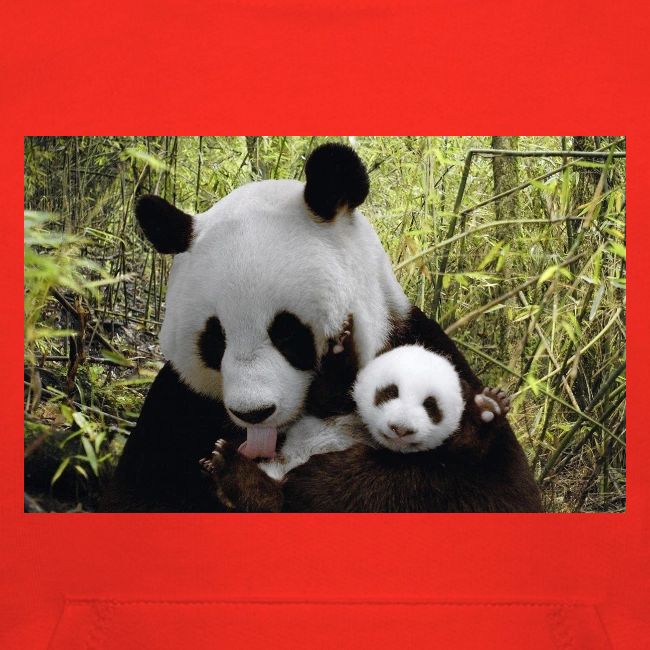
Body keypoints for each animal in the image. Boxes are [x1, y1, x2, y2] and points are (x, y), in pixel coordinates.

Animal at [101, 143, 541, 513]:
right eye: (215, 340)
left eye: (287, 333)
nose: (254, 413)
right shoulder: (179, 404)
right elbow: (137, 494)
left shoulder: (421, 346)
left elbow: (492, 489)